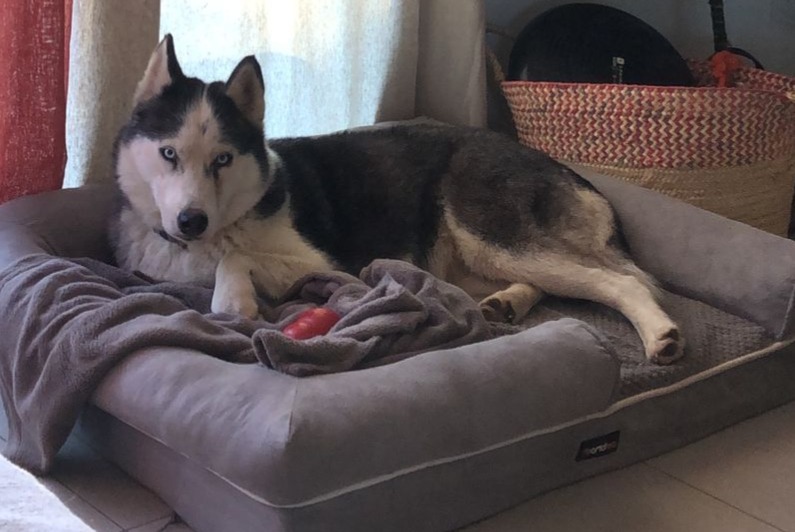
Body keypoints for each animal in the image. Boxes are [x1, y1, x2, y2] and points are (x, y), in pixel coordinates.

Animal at [110, 34, 684, 366]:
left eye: (223, 159)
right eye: (168, 153)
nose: (191, 220)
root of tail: (563, 167)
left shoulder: (329, 264)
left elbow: (236, 257)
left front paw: (233, 300)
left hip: (492, 234)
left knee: (623, 281)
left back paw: (660, 334)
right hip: (465, 260)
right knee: (552, 280)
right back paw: (506, 302)